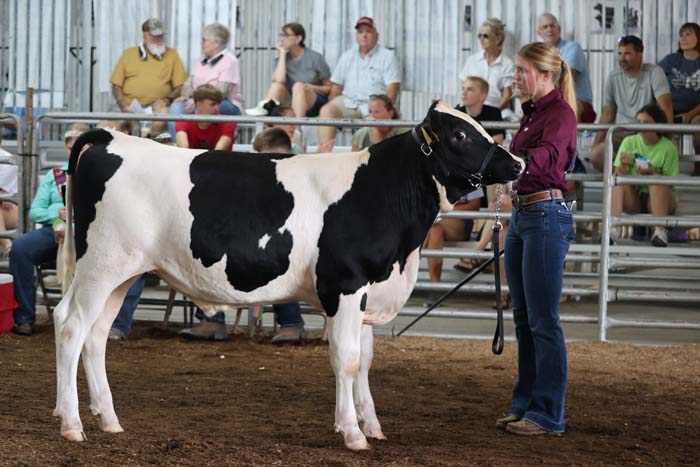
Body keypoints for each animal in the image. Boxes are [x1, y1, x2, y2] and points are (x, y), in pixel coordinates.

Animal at [53, 100, 524, 450]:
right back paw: (72, 424)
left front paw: (371, 426)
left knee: (95, 334)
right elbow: (347, 359)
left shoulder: (367, 290)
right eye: (460, 134)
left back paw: (109, 420)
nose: (517, 163)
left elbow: (365, 361)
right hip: (101, 265)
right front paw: (352, 433)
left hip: (122, 273)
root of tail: (111, 137)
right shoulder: (346, 285)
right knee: (72, 325)